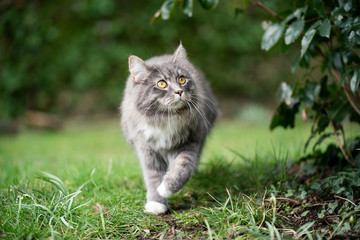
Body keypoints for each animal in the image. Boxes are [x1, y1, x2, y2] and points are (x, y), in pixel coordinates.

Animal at [120, 43, 217, 216]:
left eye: (182, 79)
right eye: (161, 83)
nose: (179, 91)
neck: (165, 118)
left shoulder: (190, 141)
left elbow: (182, 168)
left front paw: (166, 188)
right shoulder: (146, 149)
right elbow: (153, 177)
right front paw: (156, 203)